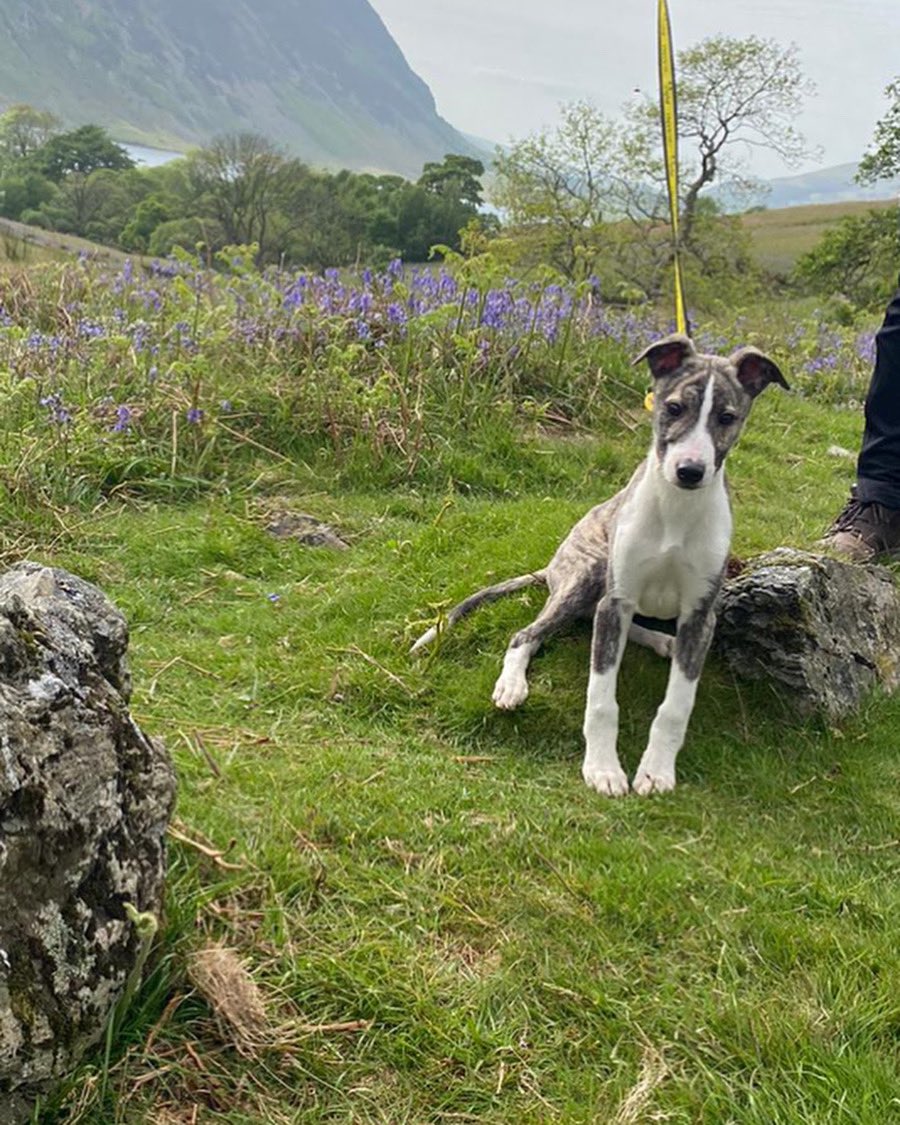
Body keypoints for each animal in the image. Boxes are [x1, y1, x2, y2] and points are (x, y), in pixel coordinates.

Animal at [409, 328, 787, 796]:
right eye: (673, 408)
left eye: (727, 417)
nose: (690, 471)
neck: (676, 509)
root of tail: (553, 565)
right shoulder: (616, 600)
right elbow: (601, 697)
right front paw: (603, 769)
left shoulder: (700, 616)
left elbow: (676, 705)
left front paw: (656, 771)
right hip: (588, 574)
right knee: (527, 634)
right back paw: (512, 685)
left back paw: (662, 641)